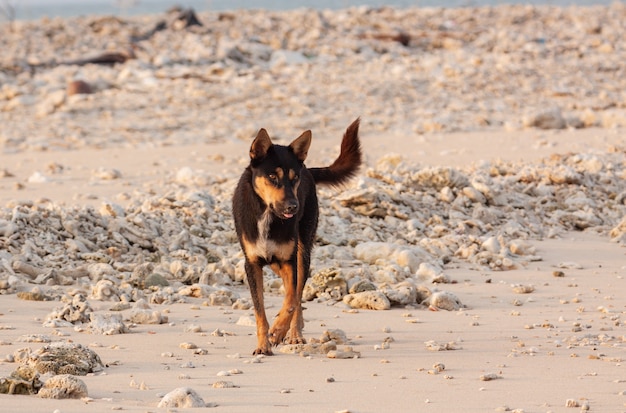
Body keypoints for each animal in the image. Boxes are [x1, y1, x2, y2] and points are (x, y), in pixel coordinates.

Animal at [233, 116, 360, 354]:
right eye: (272, 176)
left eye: (294, 178)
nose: (293, 206)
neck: (268, 214)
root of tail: (308, 168)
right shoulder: (252, 263)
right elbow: (260, 311)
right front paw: (263, 345)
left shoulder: (290, 260)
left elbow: (292, 299)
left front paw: (278, 330)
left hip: (303, 251)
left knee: (297, 291)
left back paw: (294, 333)